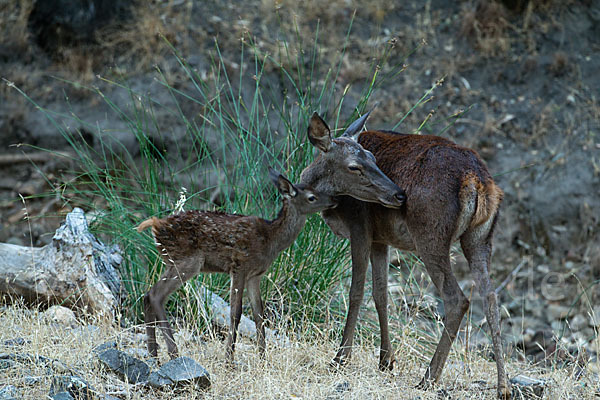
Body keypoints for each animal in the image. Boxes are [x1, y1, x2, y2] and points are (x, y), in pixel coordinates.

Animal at [300, 111, 510, 398]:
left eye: (372, 158)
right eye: (356, 165)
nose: (398, 194)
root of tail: (477, 181)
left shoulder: (360, 226)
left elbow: (356, 291)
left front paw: (340, 359)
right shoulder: (380, 239)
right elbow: (380, 293)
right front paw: (386, 361)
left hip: (430, 235)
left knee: (458, 299)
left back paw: (428, 378)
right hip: (480, 238)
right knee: (491, 298)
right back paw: (503, 387)